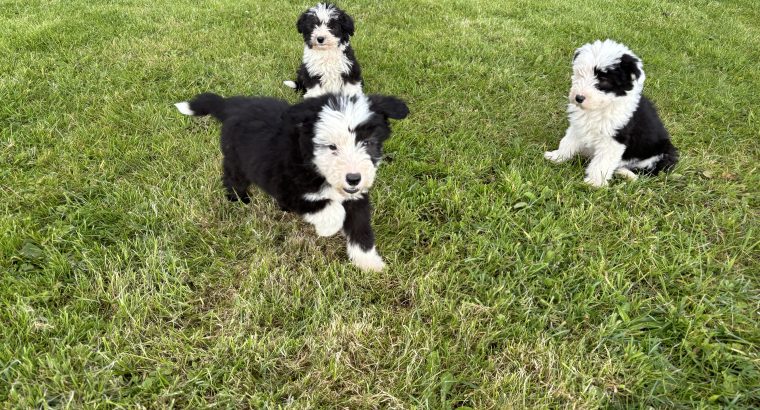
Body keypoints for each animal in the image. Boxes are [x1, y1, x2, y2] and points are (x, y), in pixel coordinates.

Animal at [176, 93, 410, 272]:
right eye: (331, 147)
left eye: (368, 143)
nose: (353, 178)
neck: (313, 164)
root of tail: (232, 105)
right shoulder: (288, 188)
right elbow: (328, 207)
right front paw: (328, 228)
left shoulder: (356, 197)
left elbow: (361, 229)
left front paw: (369, 263)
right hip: (236, 159)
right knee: (232, 176)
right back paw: (238, 199)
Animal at [544, 39, 680, 187]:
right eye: (580, 74)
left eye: (603, 79)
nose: (578, 98)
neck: (601, 106)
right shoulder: (578, 126)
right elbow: (567, 142)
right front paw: (557, 157)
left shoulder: (614, 139)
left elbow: (603, 162)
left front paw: (595, 183)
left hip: (662, 153)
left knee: (648, 172)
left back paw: (625, 173)